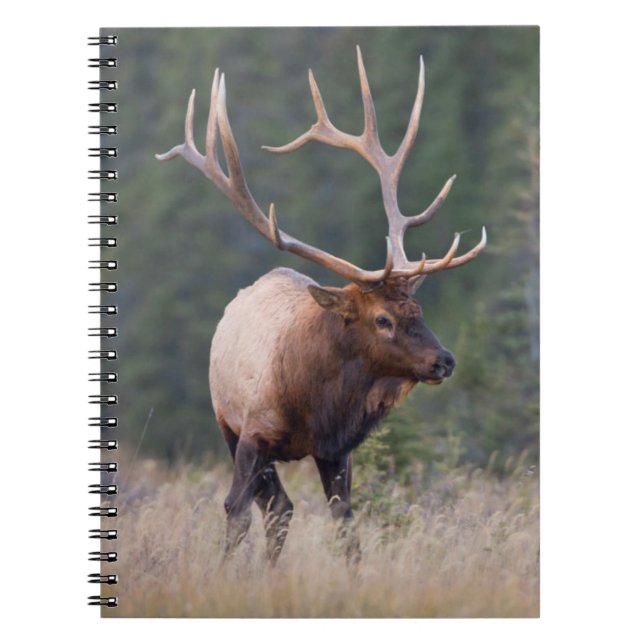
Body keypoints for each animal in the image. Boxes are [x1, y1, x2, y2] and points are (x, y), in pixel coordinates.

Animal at [156, 47, 486, 565]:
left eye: (419, 311)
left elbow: (346, 527)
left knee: (282, 508)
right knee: (273, 507)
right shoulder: (251, 433)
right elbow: (234, 512)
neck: (315, 403)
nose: (444, 360)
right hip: (226, 422)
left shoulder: (337, 450)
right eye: (383, 318)